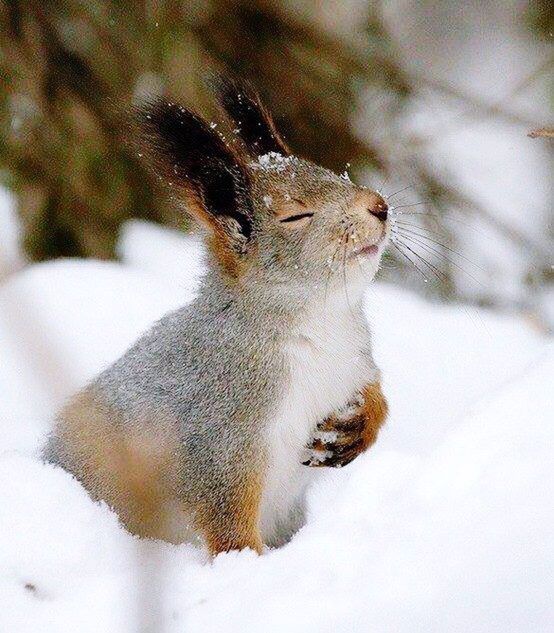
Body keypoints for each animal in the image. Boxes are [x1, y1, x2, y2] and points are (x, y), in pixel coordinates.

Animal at [43, 78, 388, 552]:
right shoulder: (220, 433)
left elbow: (375, 393)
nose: (380, 205)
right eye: (296, 215)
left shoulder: (354, 362)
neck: (320, 322)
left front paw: (359, 426)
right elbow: (226, 517)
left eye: (334, 173)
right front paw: (247, 562)